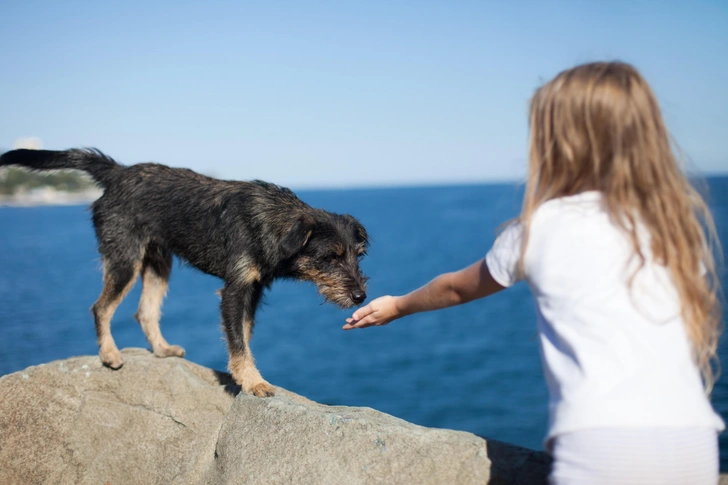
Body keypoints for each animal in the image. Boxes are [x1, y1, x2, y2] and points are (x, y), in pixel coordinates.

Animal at [1, 149, 370, 396]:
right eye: (330, 257)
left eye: (358, 256)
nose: (360, 296)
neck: (273, 223)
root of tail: (119, 173)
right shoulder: (234, 291)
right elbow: (238, 339)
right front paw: (252, 381)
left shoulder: (253, 291)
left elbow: (243, 335)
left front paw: (240, 376)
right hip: (125, 259)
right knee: (101, 307)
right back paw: (109, 353)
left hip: (157, 263)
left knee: (145, 311)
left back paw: (161, 349)